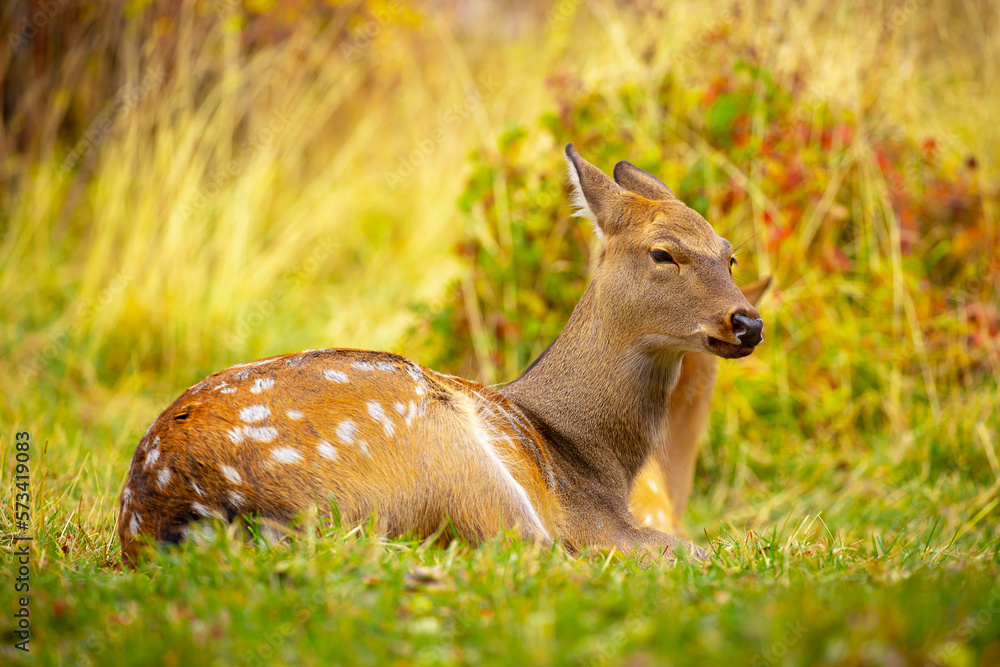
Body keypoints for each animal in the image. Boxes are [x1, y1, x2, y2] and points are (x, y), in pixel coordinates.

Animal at [117, 144, 764, 566]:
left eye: (729, 254)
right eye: (663, 253)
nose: (748, 323)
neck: (592, 456)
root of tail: (182, 512)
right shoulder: (593, 520)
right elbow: (702, 549)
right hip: (446, 454)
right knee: (534, 550)